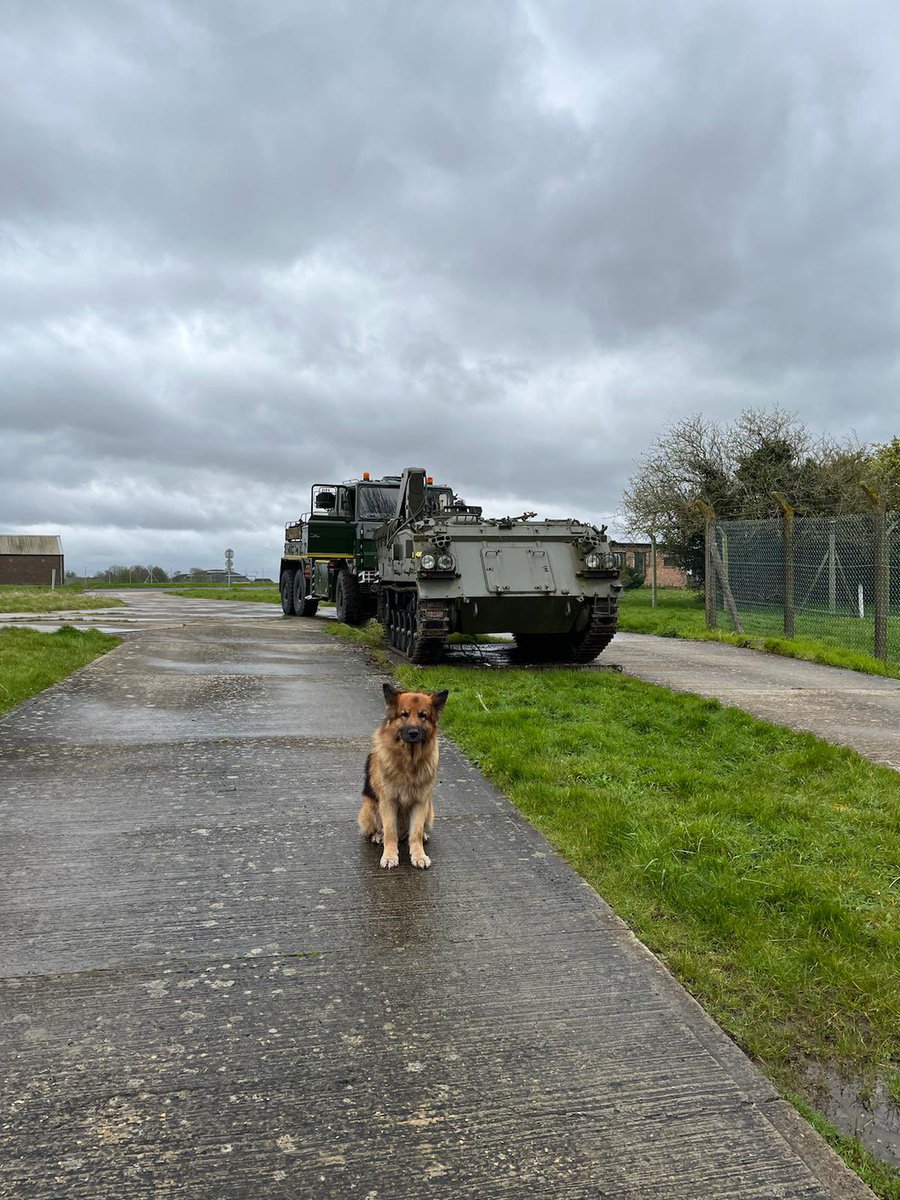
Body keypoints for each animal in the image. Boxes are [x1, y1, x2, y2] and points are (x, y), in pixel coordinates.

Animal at [360, 686, 451, 873]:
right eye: (404, 714)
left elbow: (415, 832)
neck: (409, 762)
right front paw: (389, 856)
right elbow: (390, 831)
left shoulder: (420, 802)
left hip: (429, 809)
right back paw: (378, 835)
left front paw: (419, 856)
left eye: (423, 715)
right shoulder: (388, 802)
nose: (413, 733)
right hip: (369, 806)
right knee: (381, 829)